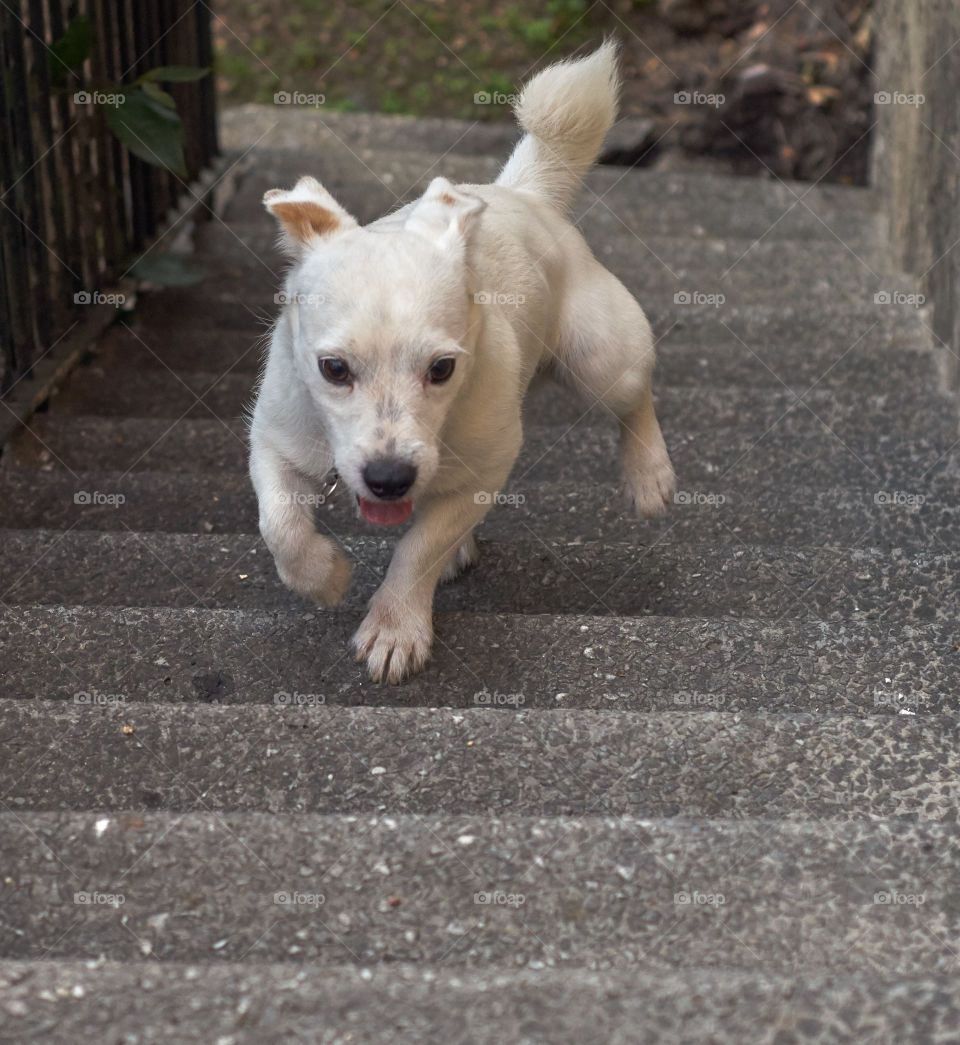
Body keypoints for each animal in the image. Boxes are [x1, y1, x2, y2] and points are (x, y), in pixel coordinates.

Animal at [251, 42, 681, 685]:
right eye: (333, 369)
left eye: (442, 370)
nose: (389, 479)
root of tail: (524, 192)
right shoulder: (274, 443)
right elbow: (280, 527)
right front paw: (324, 579)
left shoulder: (484, 472)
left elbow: (418, 549)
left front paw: (395, 625)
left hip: (604, 358)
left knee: (635, 401)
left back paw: (649, 473)